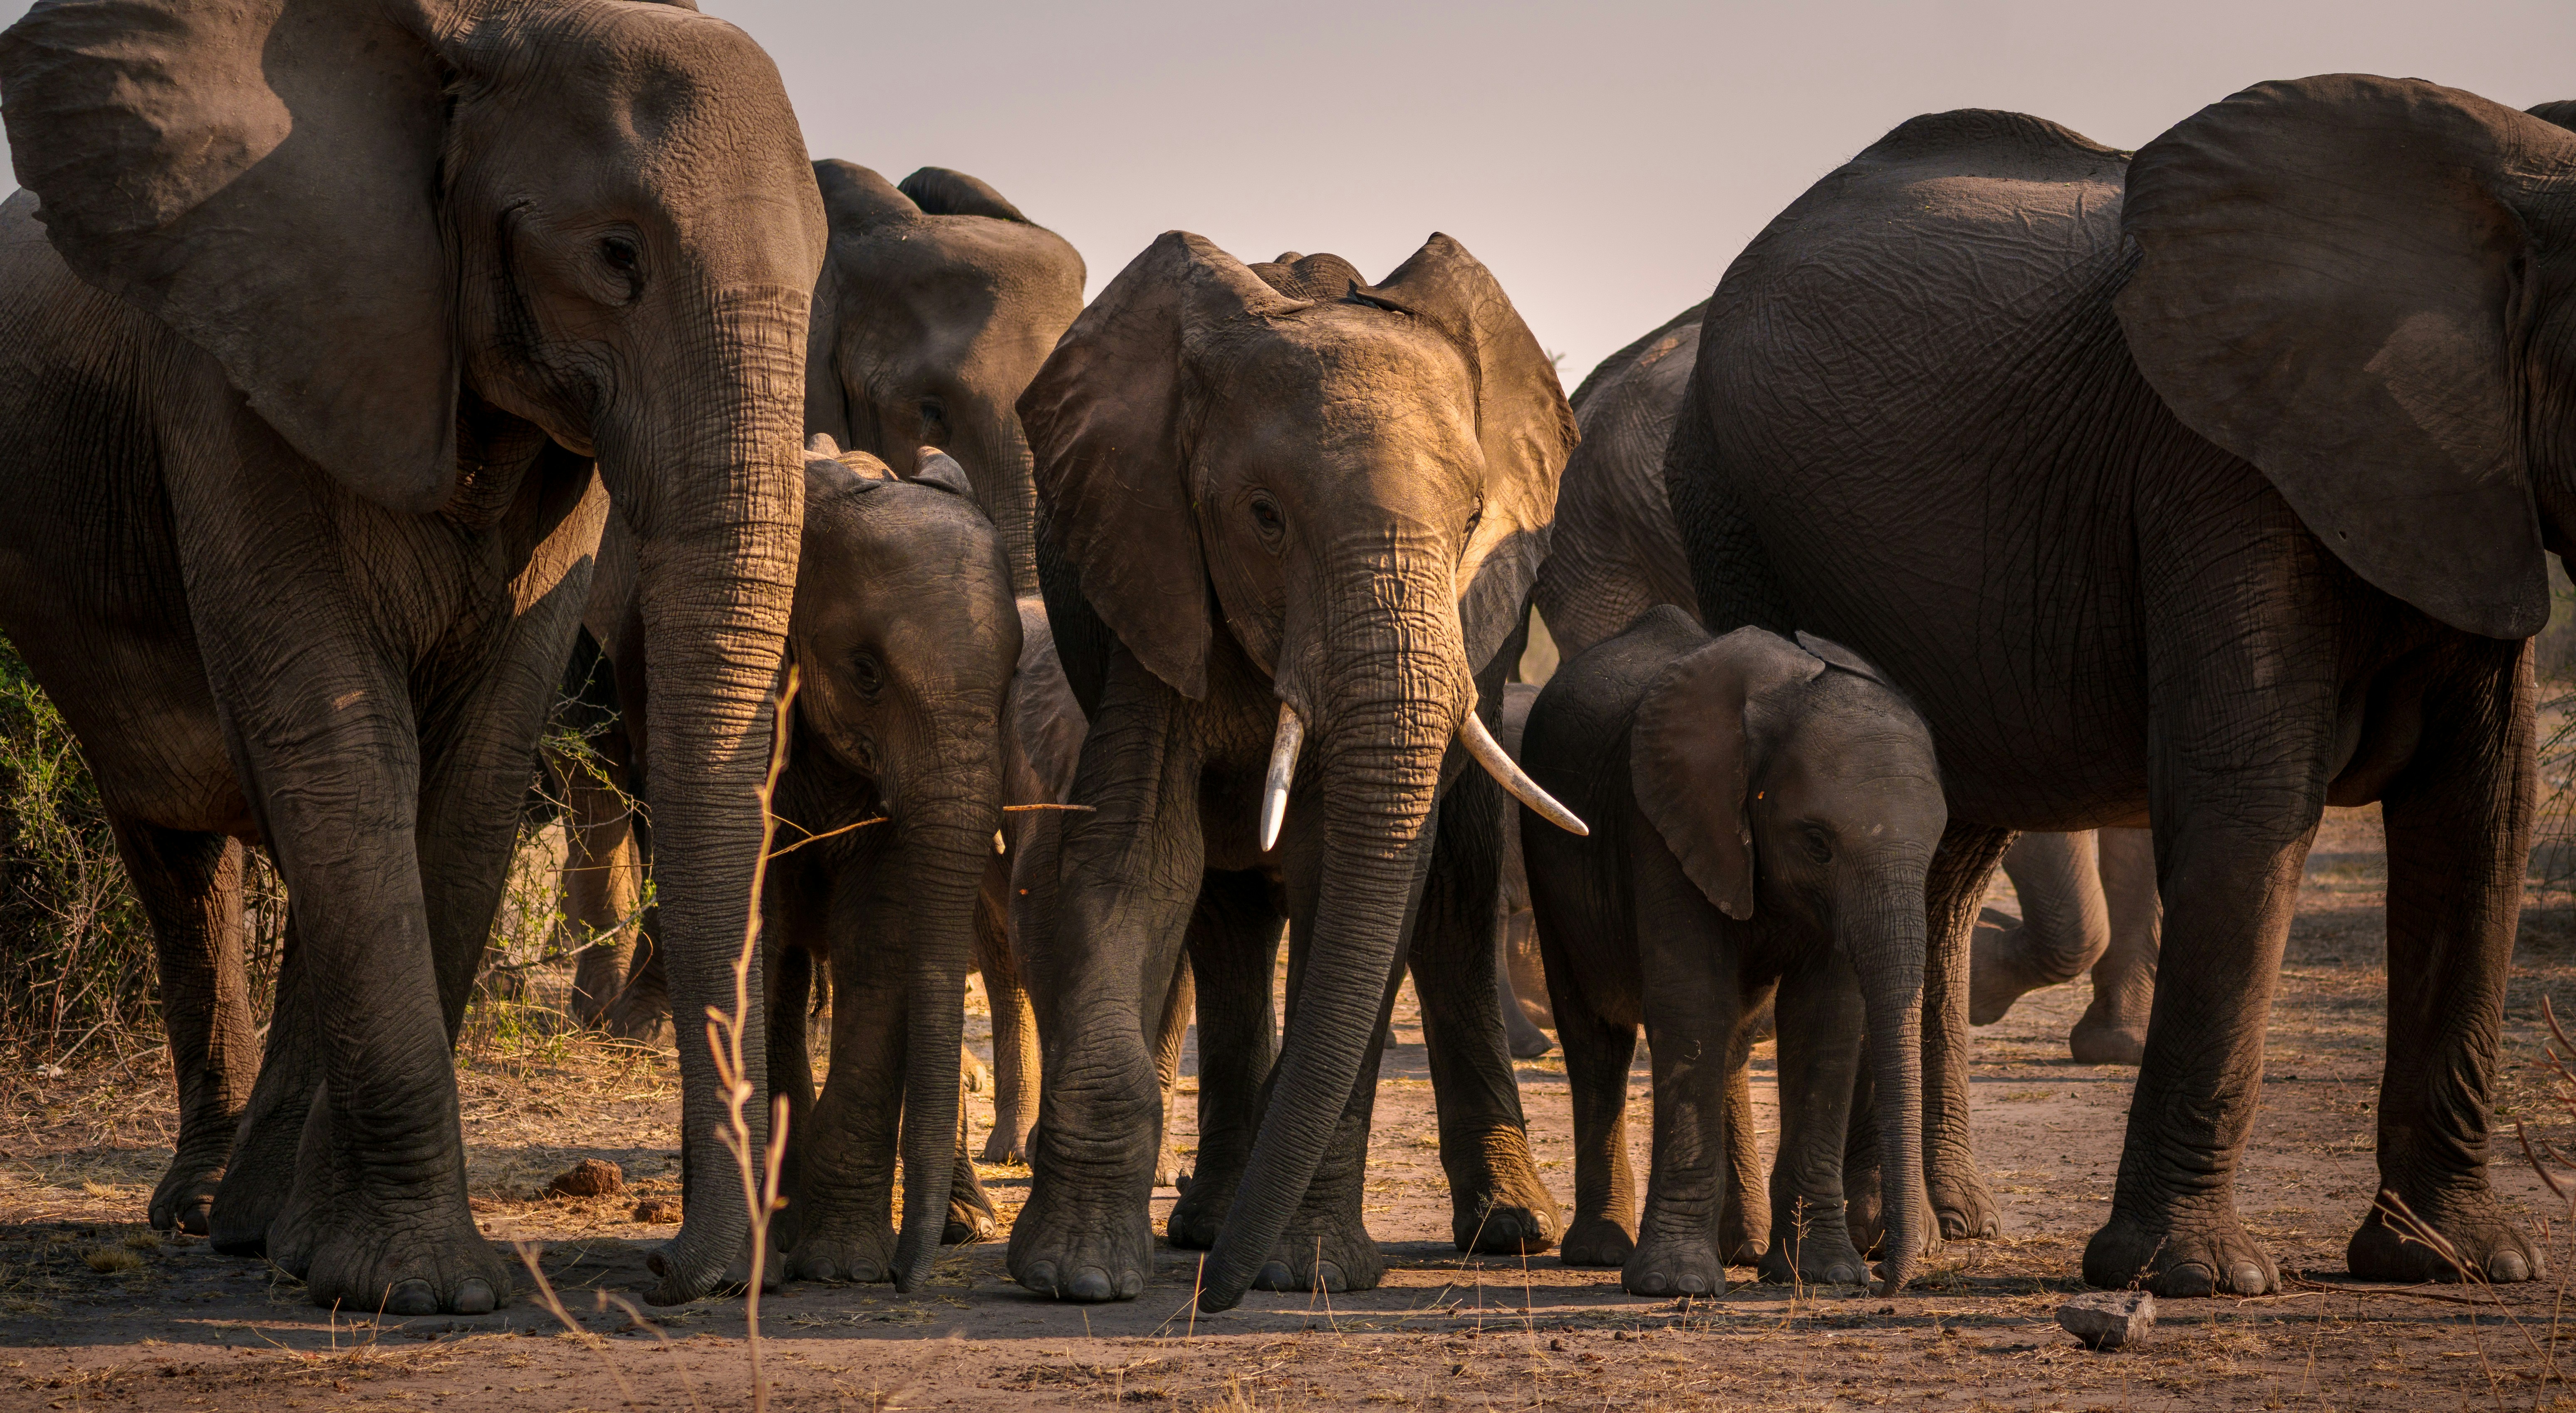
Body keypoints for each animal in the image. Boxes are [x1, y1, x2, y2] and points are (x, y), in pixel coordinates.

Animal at [0, 0, 823, 1312]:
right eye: (616, 256)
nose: (668, 1267)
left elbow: (475, 761)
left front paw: (342, 1259)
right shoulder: (239, 360)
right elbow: (335, 733)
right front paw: (418, 1288)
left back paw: (262, 1223)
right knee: (183, 836)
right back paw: (213, 1215)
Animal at [1009, 232, 1582, 1313]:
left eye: (1473, 519)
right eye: (1263, 516)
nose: (1213, 1302)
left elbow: (1345, 882)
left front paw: (1309, 1272)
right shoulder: (1150, 575)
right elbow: (1136, 863)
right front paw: (1075, 1278)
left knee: (1452, 900)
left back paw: (1513, 1230)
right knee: (1224, 924)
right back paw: (1203, 1228)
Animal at [1522, 609, 1941, 1297]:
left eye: (1935, 846)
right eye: (1817, 843)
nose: (1884, 1280)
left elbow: (1824, 1017)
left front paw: (1824, 1274)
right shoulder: (1665, 821)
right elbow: (1692, 1001)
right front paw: (1676, 1285)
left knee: (1734, 1037)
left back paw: (1739, 1248)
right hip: (1550, 866)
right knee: (1597, 1040)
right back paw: (1601, 1252)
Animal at [1663, 76, 2568, 1295]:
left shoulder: (2464, 479)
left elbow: (2481, 815)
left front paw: (2459, 1261)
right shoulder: (2216, 469)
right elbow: (2249, 797)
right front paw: (2194, 1279)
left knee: (1937, 862)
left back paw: (1928, 1229)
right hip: (1732, 505)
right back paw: (1893, 1234)